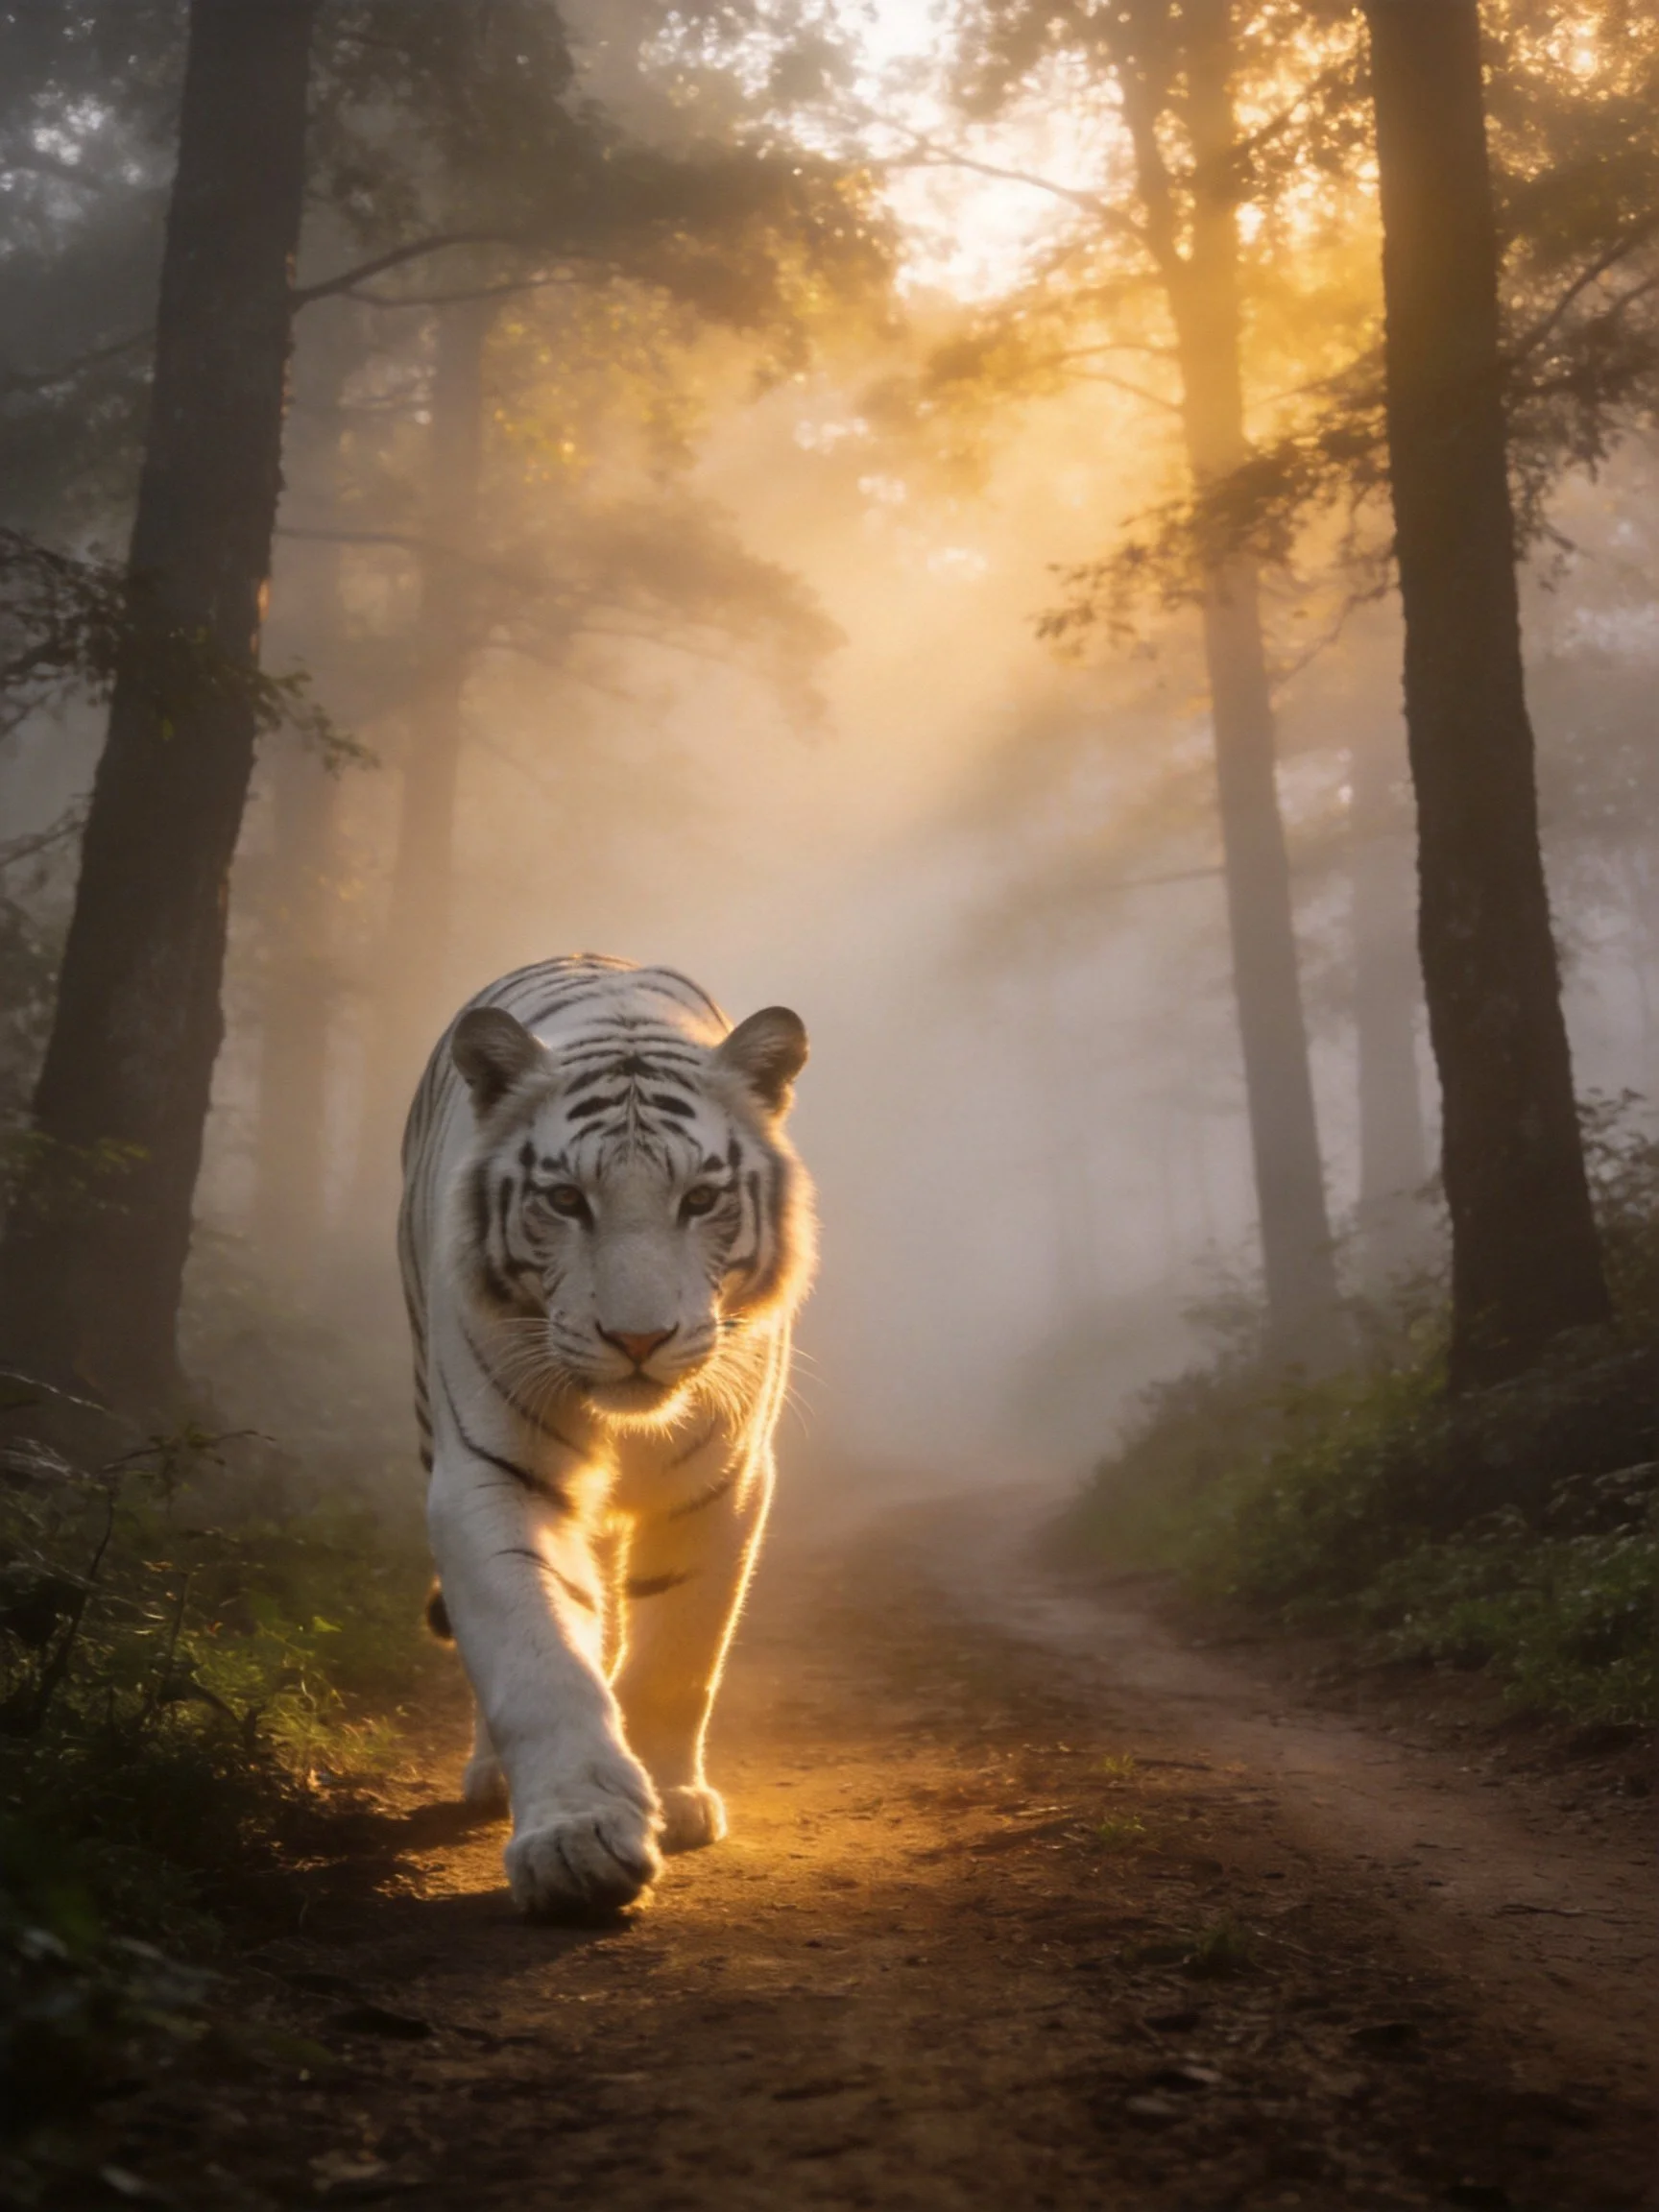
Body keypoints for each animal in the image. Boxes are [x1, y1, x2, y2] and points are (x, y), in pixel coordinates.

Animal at [397, 955, 814, 1918]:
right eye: (564, 1200)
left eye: (700, 1199)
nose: (637, 1339)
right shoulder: (491, 1474)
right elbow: (537, 1653)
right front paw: (577, 1840)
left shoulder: (725, 1479)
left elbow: (680, 1650)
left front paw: (670, 1798)